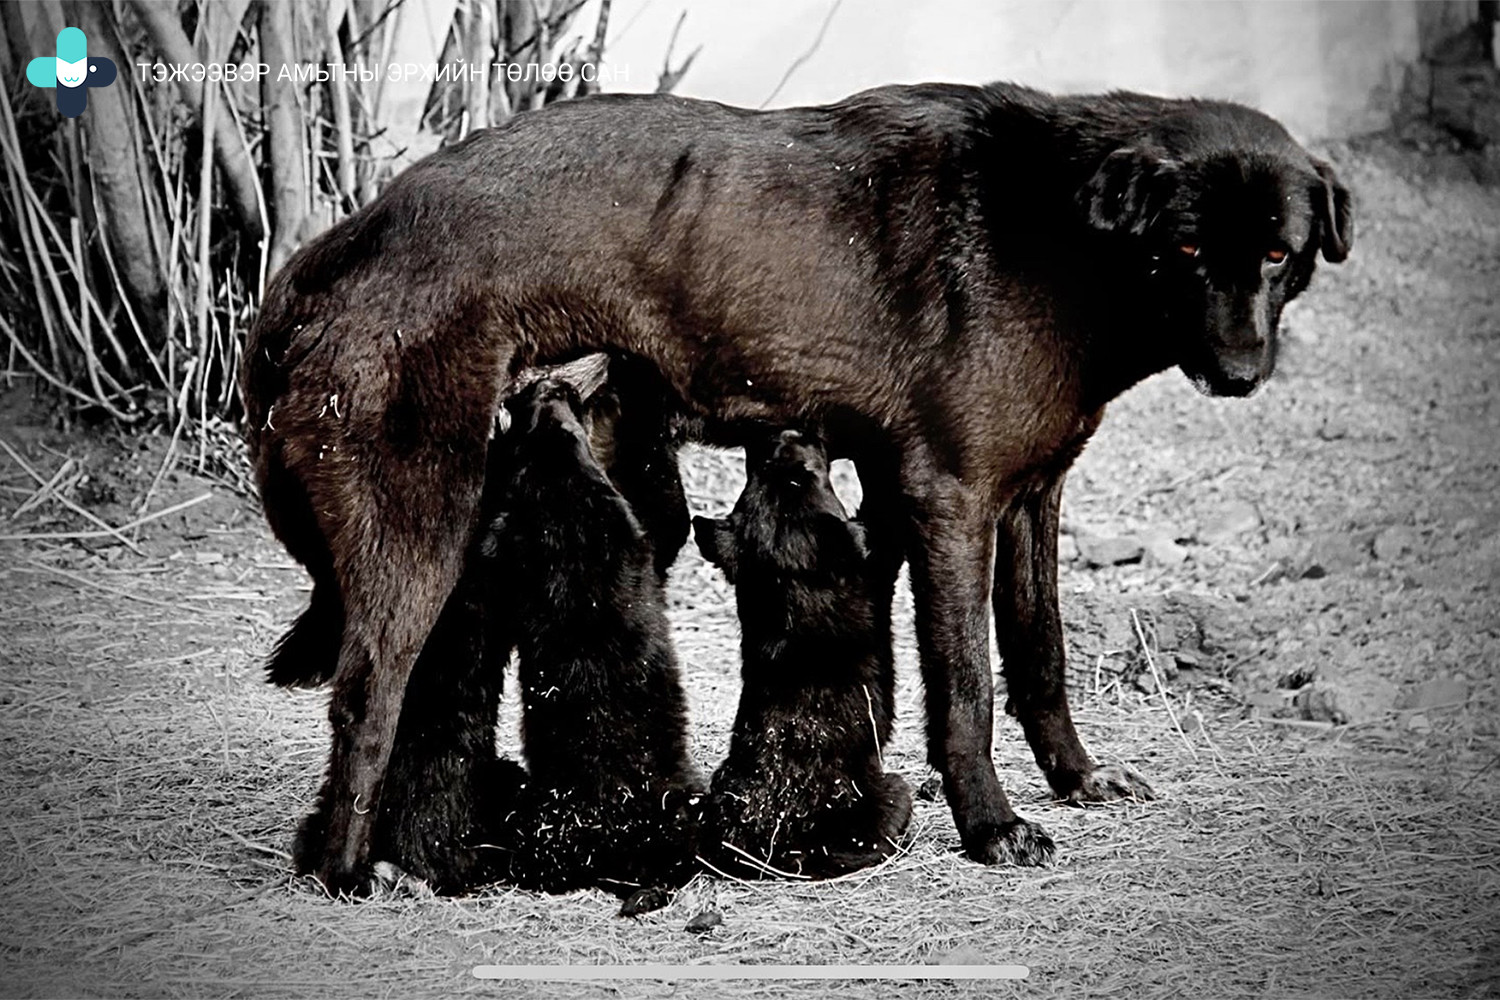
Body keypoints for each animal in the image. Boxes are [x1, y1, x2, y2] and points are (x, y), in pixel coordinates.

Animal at [693, 425, 912, 881]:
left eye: (758, 469)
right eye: (805, 477)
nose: (788, 431)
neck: (786, 592)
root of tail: (771, 849)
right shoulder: (875, 566)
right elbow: (880, 524)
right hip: (894, 793)